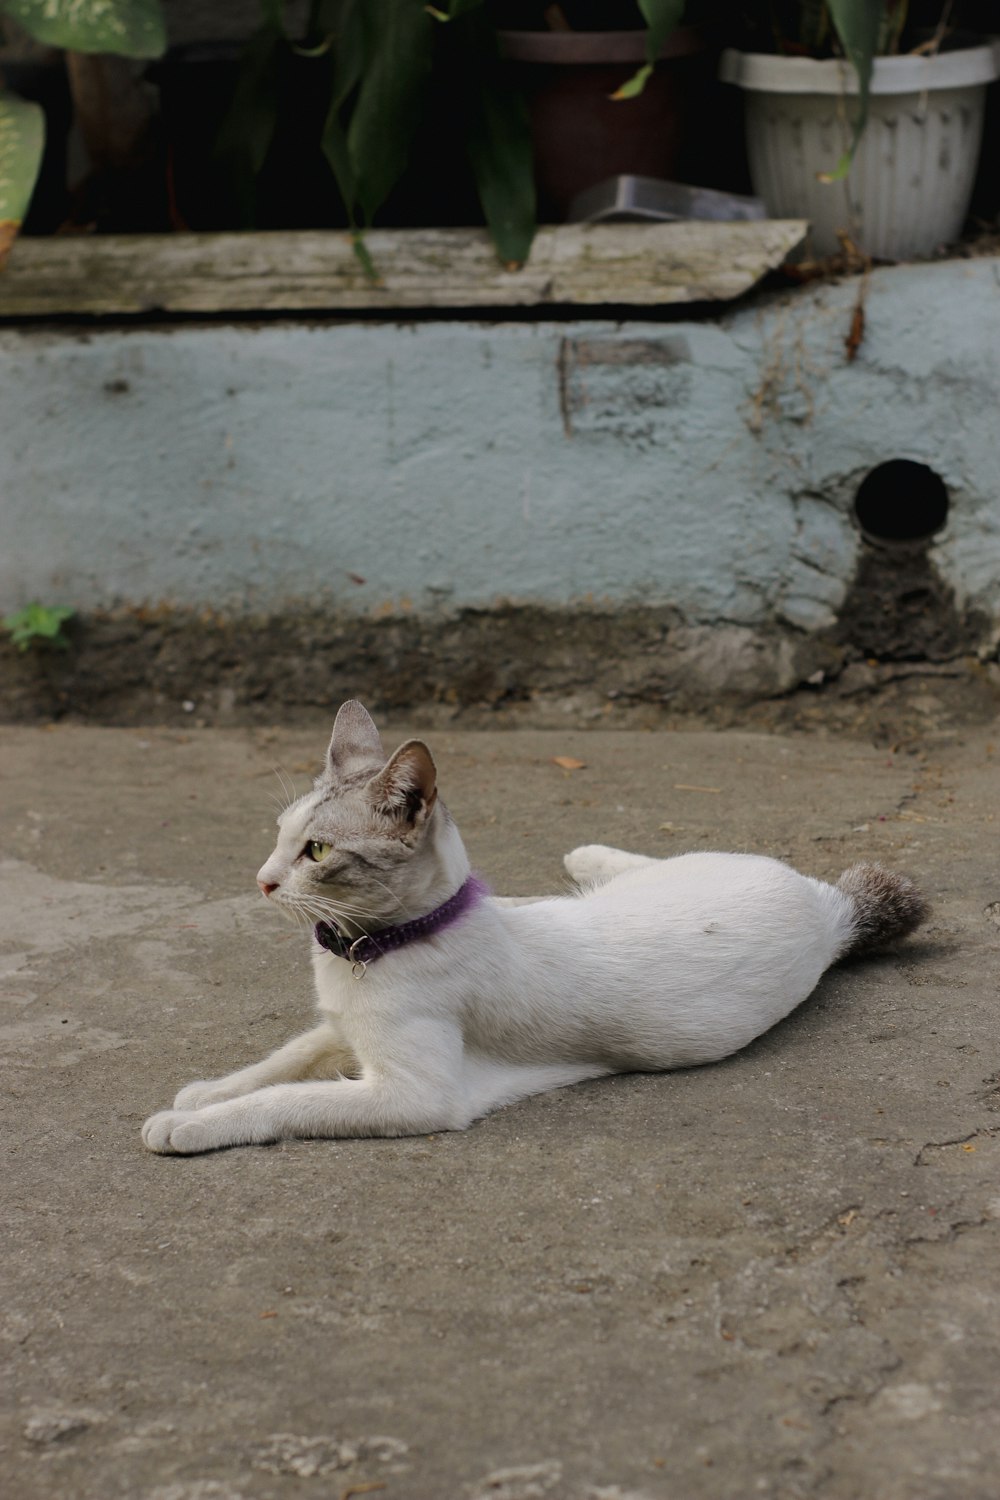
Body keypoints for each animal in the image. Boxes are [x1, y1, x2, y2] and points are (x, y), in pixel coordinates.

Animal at [137, 696, 929, 1152]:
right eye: (279, 836)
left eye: (319, 852)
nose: (262, 879)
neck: (364, 951)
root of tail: (829, 908)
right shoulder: (340, 1030)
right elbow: (281, 1060)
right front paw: (206, 1093)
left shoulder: (414, 1093)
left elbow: (286, 1097)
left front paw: (189, 1124)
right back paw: (575, 864)